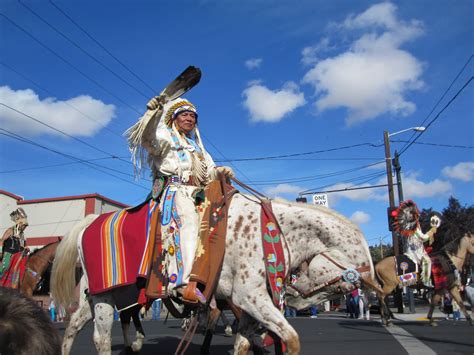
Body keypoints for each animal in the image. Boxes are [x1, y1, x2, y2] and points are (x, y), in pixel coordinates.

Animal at [51, 195, 380, 355]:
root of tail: (91, 221)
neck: (271, 230)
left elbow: (244, 344)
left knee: (80, 330)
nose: (297, 302)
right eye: (344, 284)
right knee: (96, 336)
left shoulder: (246, 305)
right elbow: (290, 338)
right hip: (104, 295)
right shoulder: (250, 297)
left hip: (107, 296)